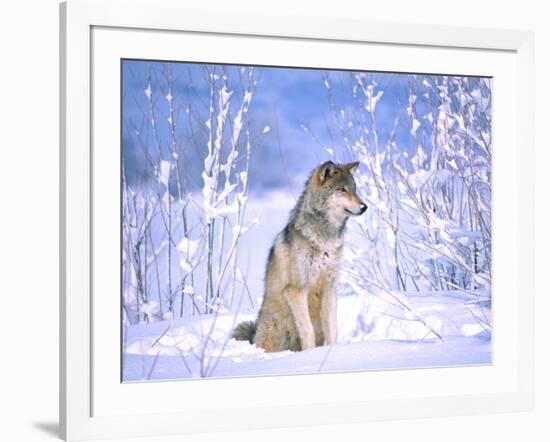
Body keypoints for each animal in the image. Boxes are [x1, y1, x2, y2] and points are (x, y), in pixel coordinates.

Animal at [232, 160, 366, 352]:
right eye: (342, 189)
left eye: (355, 189)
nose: (364, 207)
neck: (324, 238)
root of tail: (254, 335)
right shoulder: (296, 289)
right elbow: (307, 330)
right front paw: (310, 354)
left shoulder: (329, 287)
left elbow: (332, 330)